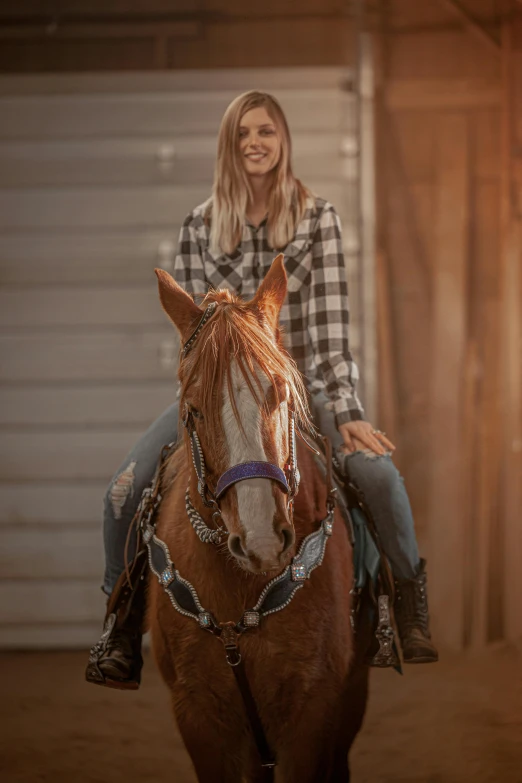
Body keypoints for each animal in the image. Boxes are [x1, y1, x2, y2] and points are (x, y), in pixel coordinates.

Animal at [145, 258, 370, 783]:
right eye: (193, 409)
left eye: (282, 393)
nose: (263, 540)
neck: (238, 601)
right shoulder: (199, 719)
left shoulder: (314, 715)